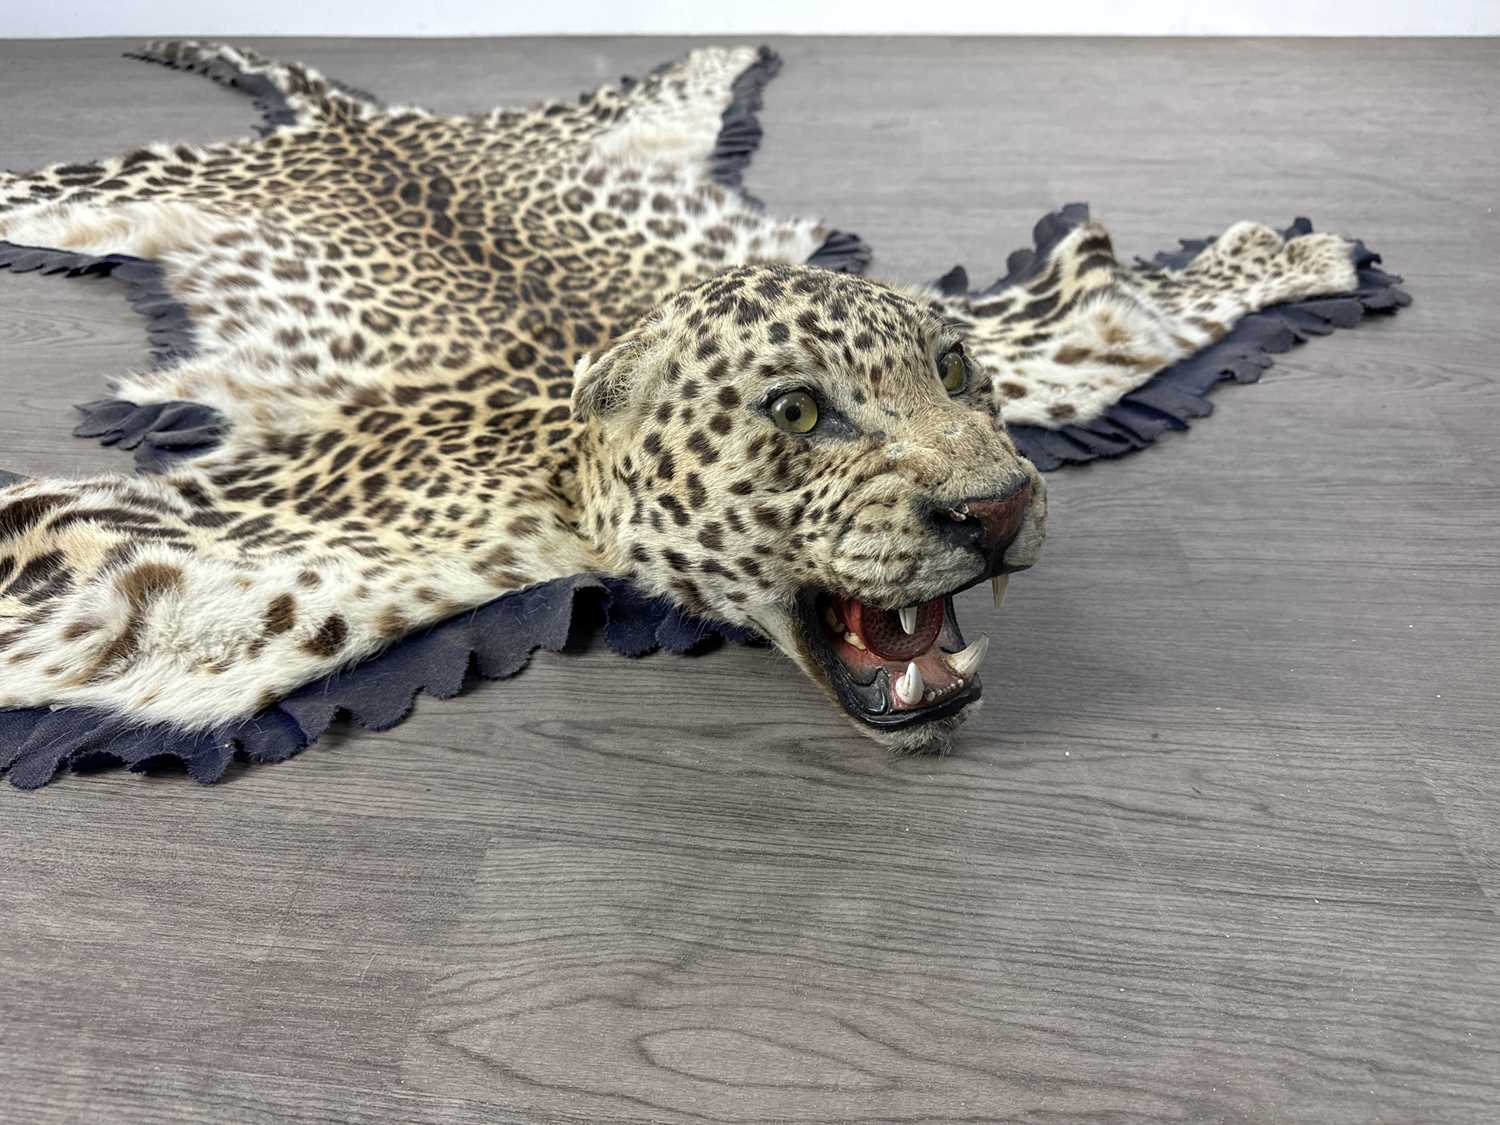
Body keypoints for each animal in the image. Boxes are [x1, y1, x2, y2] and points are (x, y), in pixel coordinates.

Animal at [0, 41, 1363, 755]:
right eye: (796, 414)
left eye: (953, 372)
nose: (994, 510)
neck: (567, 470)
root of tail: (350, 115)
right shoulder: (153, 577)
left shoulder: (1052, 345)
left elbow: (1126, 308)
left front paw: (1311, 258)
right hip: (101, 192)